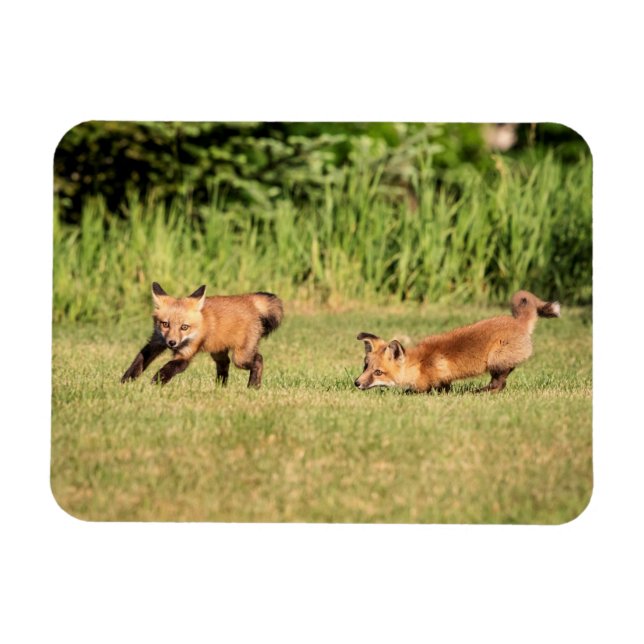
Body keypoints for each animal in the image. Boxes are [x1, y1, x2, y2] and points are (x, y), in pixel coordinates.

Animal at [121, 283, 283, 388]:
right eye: (165, 324)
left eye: (184, 327)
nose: (172, 343)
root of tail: (249, 299)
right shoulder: (156, 342)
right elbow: (139, 361)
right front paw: (125, 381)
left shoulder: (186, 353)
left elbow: (169, 367)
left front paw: (155, 383)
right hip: (218, 352)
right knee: (224, 364)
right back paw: (220, 388)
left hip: (240, 358)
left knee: (258, 359)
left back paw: (253, 386)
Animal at [354, 290, 560, 394]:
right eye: (365, 367)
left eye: (378, 372)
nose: (356, 383)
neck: (419, 364)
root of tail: (517, 322)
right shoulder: (444, 379)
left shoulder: (433, 380)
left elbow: (418, 391)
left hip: (496, 359)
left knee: (500, 384)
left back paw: (477, 392)